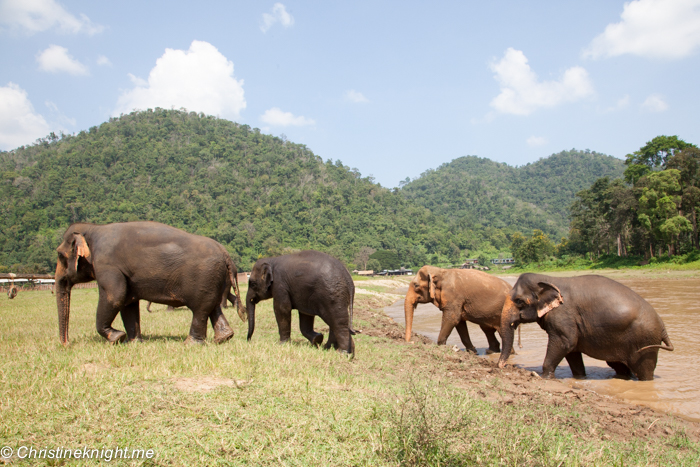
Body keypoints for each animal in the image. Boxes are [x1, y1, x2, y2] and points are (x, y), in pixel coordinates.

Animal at [54, 221, 246, 346]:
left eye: (60, 255)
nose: (66, 344)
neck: (93, 228)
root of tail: (225, 253)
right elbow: (128, 303)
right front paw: (133, 343)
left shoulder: (107, 266)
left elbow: (115, 296)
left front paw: (117, 338)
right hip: (212, 278)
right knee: (212, 306)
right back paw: (223, 338)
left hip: (204, 276)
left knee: (200, 309)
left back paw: (190, 344)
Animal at [498, 274, 672, 380]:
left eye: (519, 301)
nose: (501, 366)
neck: (550, 279)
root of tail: (663, 328)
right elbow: (572, 350)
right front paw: (580, 378)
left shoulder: (564, 315)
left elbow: (566, 343)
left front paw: (543, 377)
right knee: (617, 364)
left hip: (645, 343)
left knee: (643, 370)